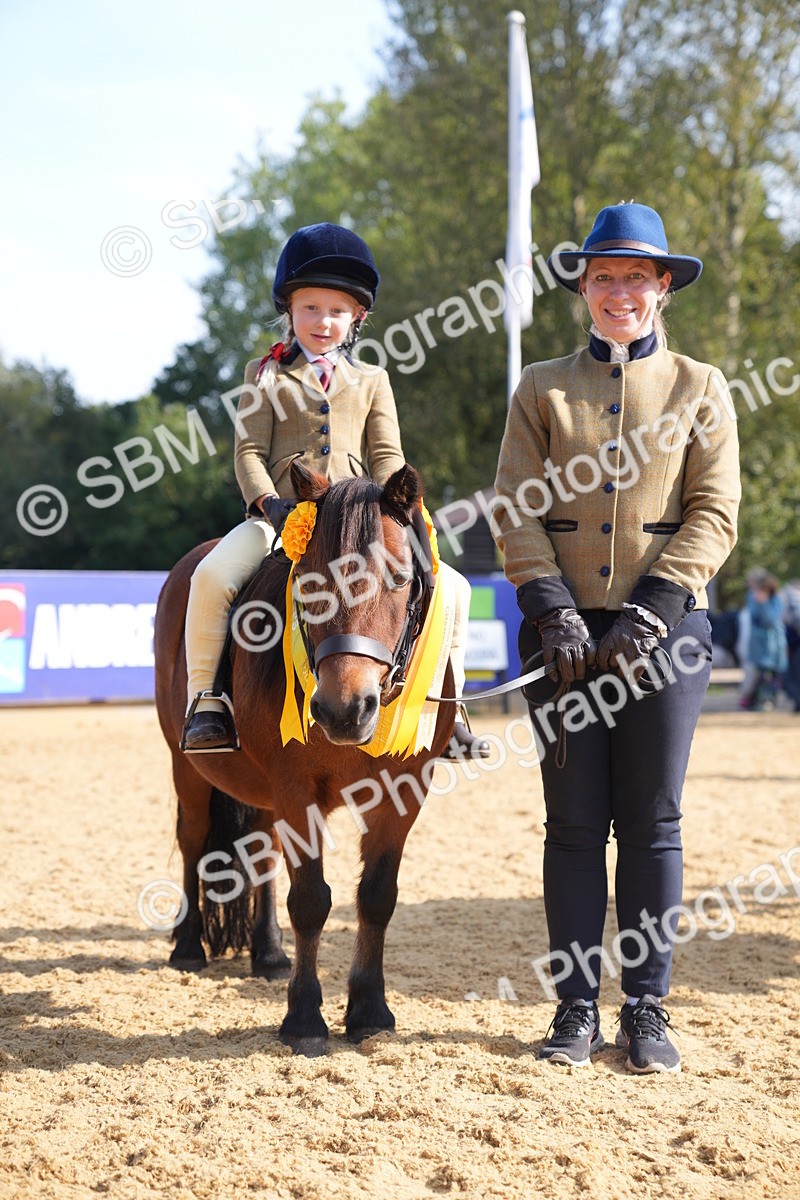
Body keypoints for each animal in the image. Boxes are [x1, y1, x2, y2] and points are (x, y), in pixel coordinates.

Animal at [154, 459, 455, 1054]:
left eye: (400, 578)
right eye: (309, 582)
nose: (344, 710)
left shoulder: (405, 792)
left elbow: (376, 896)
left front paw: (369, 1011)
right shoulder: (297, 789)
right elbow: (312, 900)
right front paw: (304, 1019)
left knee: (262, 851)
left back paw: (269, 953)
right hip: (187, 768)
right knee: (194, 839)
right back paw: (188, 946)